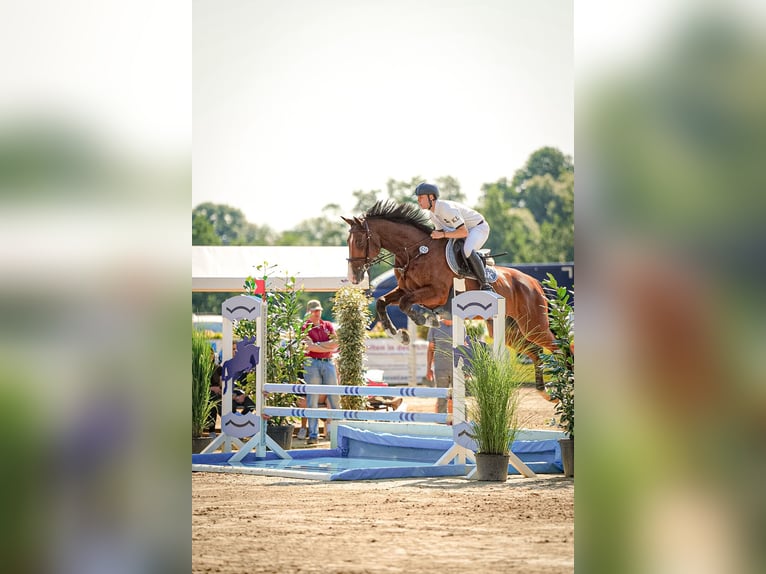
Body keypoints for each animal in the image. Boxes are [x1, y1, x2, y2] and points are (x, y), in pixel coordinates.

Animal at [342, 199, 558, 393]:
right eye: (347, 242)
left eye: (359, 241)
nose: (354, 277)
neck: (415, 253)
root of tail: (534, 282)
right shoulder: (405, 289)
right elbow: (382, 302)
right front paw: (399, 335)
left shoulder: (436, 293)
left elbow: (405, 304)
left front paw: (426, 318)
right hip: (509, 330)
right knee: (536, 351)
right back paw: (544, 391)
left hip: (533, 324)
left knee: (555, 346)